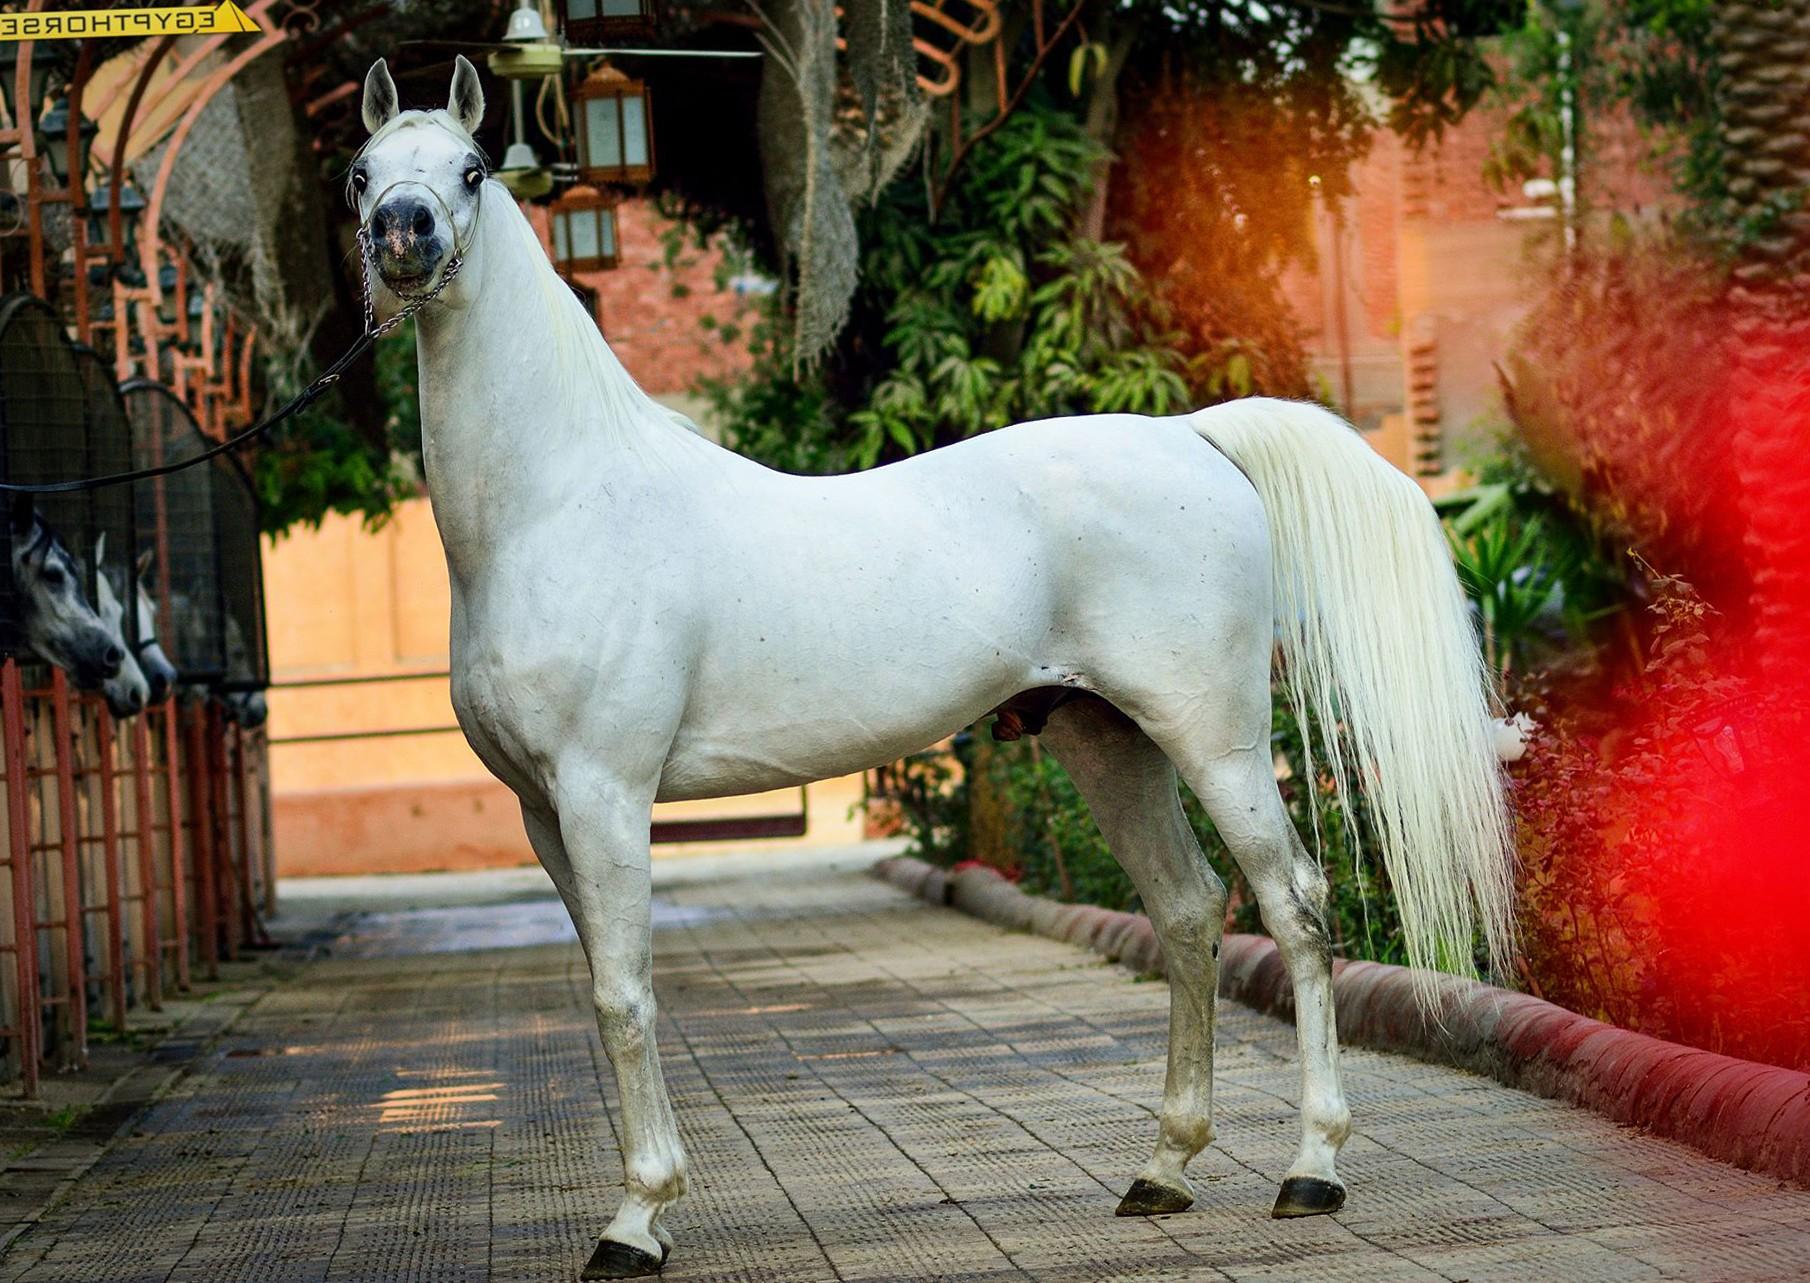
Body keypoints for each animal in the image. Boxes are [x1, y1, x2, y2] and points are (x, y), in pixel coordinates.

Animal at [353, 58, 1514, 1280]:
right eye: (363, 173)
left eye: (472, 169)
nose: (402, 237)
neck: (559, 504)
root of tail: (1192, 434)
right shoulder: (544, 812)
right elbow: (604, 994)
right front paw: (644, 1207)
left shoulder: (604, 793)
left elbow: (625, 995)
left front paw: (635, 1220)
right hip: (1107, 739)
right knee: (1190, 907)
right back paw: (1163, 1168)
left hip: (1218, 739)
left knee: (1293, 904)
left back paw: (1312, 1168)